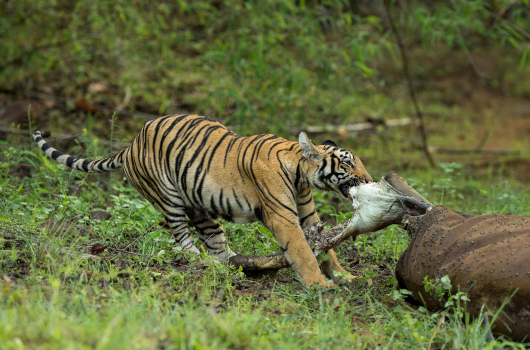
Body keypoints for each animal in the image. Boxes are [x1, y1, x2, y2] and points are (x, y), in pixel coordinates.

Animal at [33, 115, 372, 288]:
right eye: (348, 163)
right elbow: (303, 251)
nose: (369, 179)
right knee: (184, 241)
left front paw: (345, 275)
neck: (301, 173)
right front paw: (320, 285)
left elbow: (327, 247)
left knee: (217, 244)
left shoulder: (308, 215)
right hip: (168, 197)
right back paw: (202, 260)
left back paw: (236, 263)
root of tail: (130, 144)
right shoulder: (283, 217)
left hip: (199, 203)